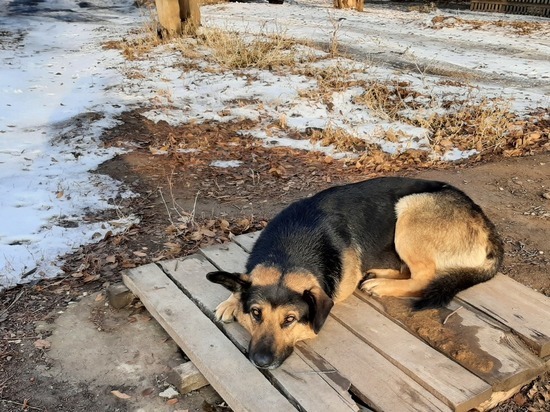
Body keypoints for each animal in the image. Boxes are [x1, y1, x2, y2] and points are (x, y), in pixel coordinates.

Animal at [206, 177, 504, 370]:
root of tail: (485, 222)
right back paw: (378, 274)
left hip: (410, 208)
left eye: (290, 320)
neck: (290, 251)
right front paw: (231, 301)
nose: (261, 362)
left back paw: (381, 285)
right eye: (256, 314)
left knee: (424, 276)